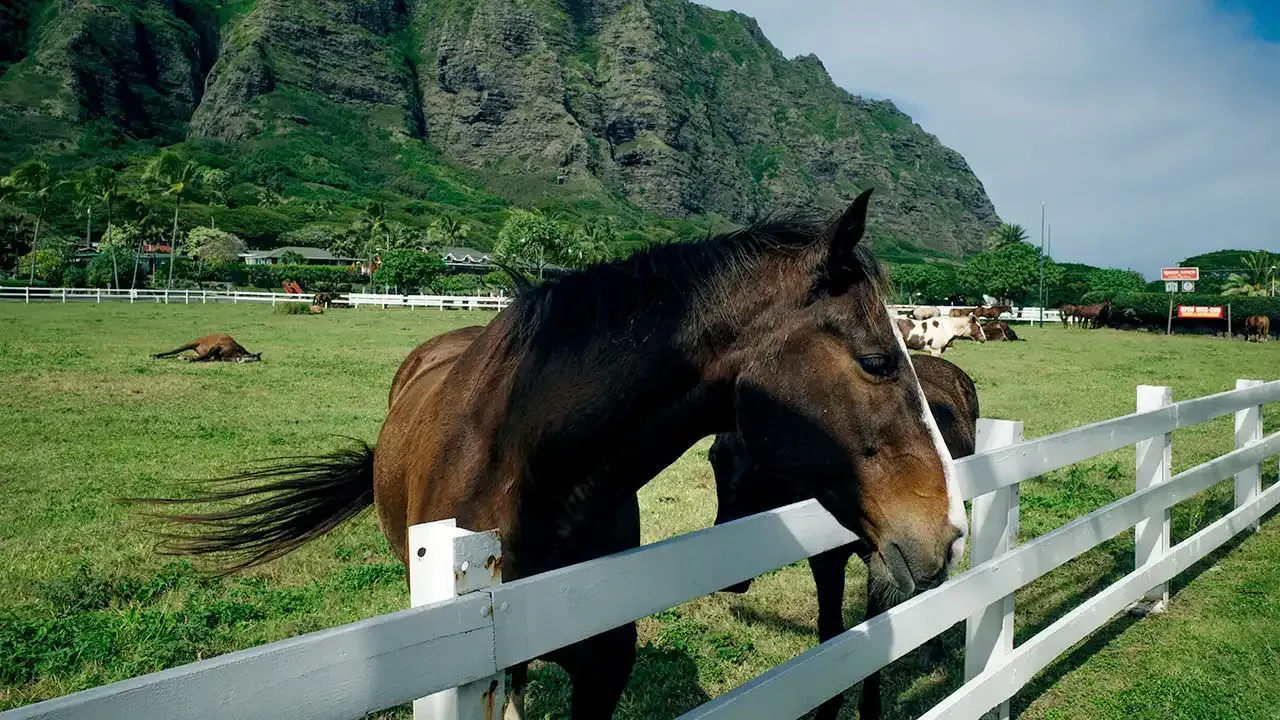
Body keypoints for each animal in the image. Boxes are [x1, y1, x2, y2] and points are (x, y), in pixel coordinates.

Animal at [710, 353, 980, 720]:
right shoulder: (825, 561)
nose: (732, 580)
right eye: (713, 459)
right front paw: (828, 707)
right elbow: (830, 632)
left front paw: (869, 708)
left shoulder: (885, 565)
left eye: (762, 468)